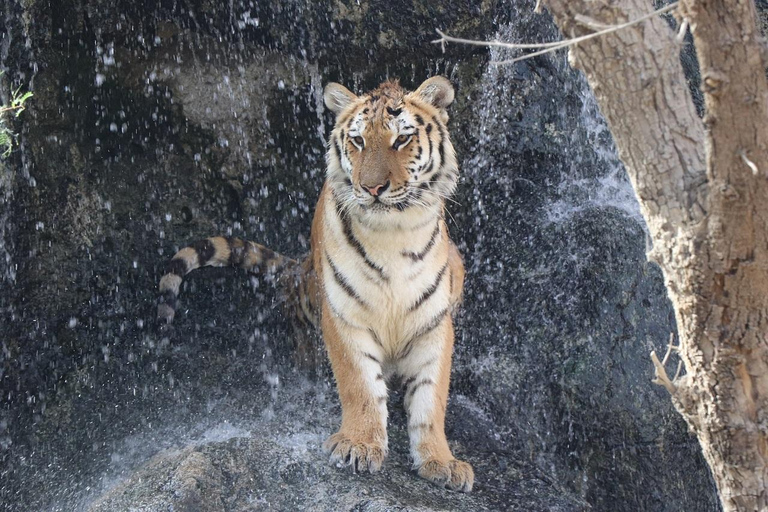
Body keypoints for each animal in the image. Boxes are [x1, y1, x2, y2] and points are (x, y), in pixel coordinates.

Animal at [156, 77, 474, 492]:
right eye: (358, 141)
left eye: (402, 139)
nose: (372, 188)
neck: (394, 234)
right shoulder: (344, 315)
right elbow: (359, 384)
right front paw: (359, 444)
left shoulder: (433, 324)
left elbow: (430, 399)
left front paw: (442, 461)